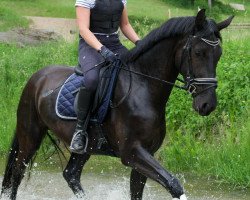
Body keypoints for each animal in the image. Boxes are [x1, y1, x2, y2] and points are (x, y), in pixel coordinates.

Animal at [1, 10, 232, 199]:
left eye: (218, 55)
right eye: (198, 52)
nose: (207, 105)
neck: (143, 86)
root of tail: (37, 76)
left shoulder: (144, 156)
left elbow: (139, 192)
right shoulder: (132, 154)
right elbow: (174, 184)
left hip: (86, 147)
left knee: (71, 175)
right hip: (30, 136)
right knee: (17, 174)